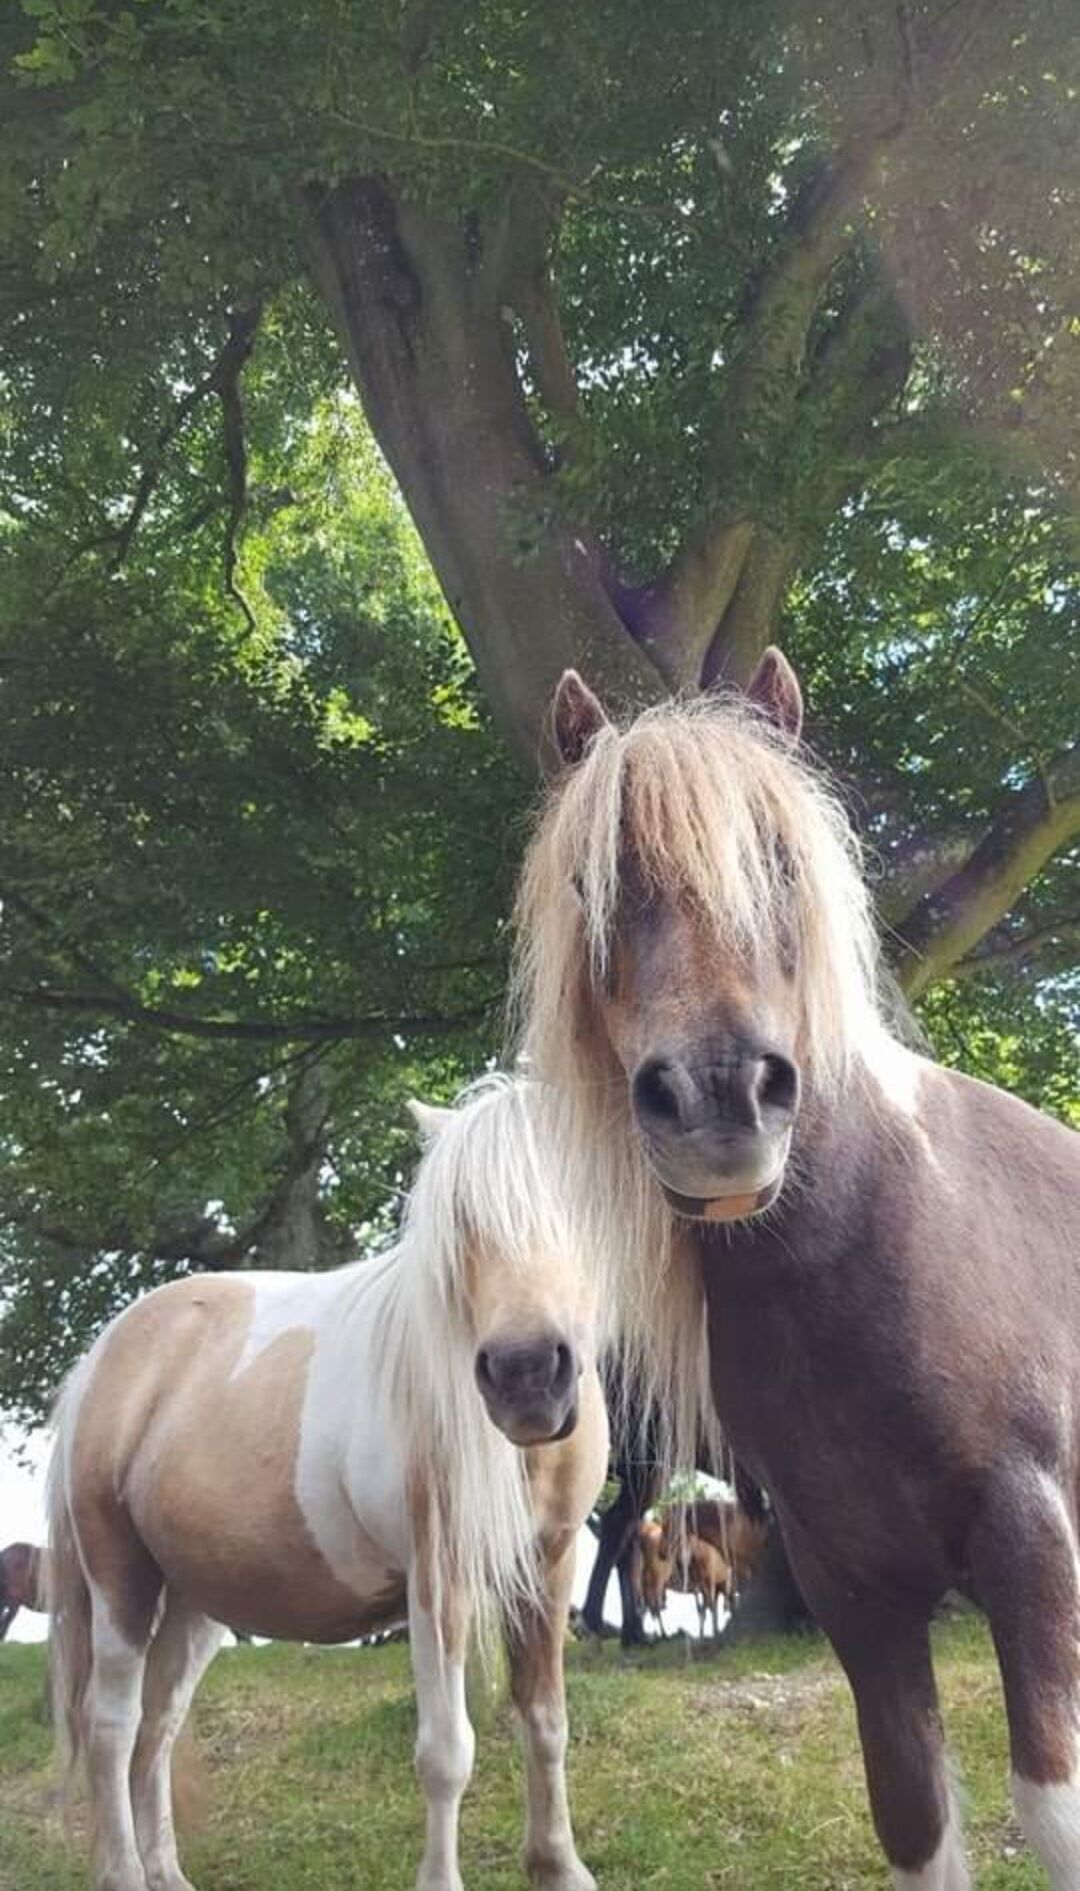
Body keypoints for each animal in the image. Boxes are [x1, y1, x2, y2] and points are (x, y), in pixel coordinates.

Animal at [46, 1077, 608, 1891]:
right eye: (462, 1220)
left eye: (584, 1197)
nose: (527, 1374)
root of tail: (104, 1356)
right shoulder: (438, 1580)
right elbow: (446, 1752)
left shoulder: (549, 1564)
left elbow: (544, 1720)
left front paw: (558, 1865)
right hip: (119, 1579)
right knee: (111, 1727)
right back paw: (122, 1873)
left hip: (190, 1601)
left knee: (159, 1726)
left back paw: (166, 1875)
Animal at [514, 646, 1080, 1889]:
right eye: (592, 885)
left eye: (778, 858)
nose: (721, 1097)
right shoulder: (858, 1594)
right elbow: (916, 1818)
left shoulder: (1035, 1547)